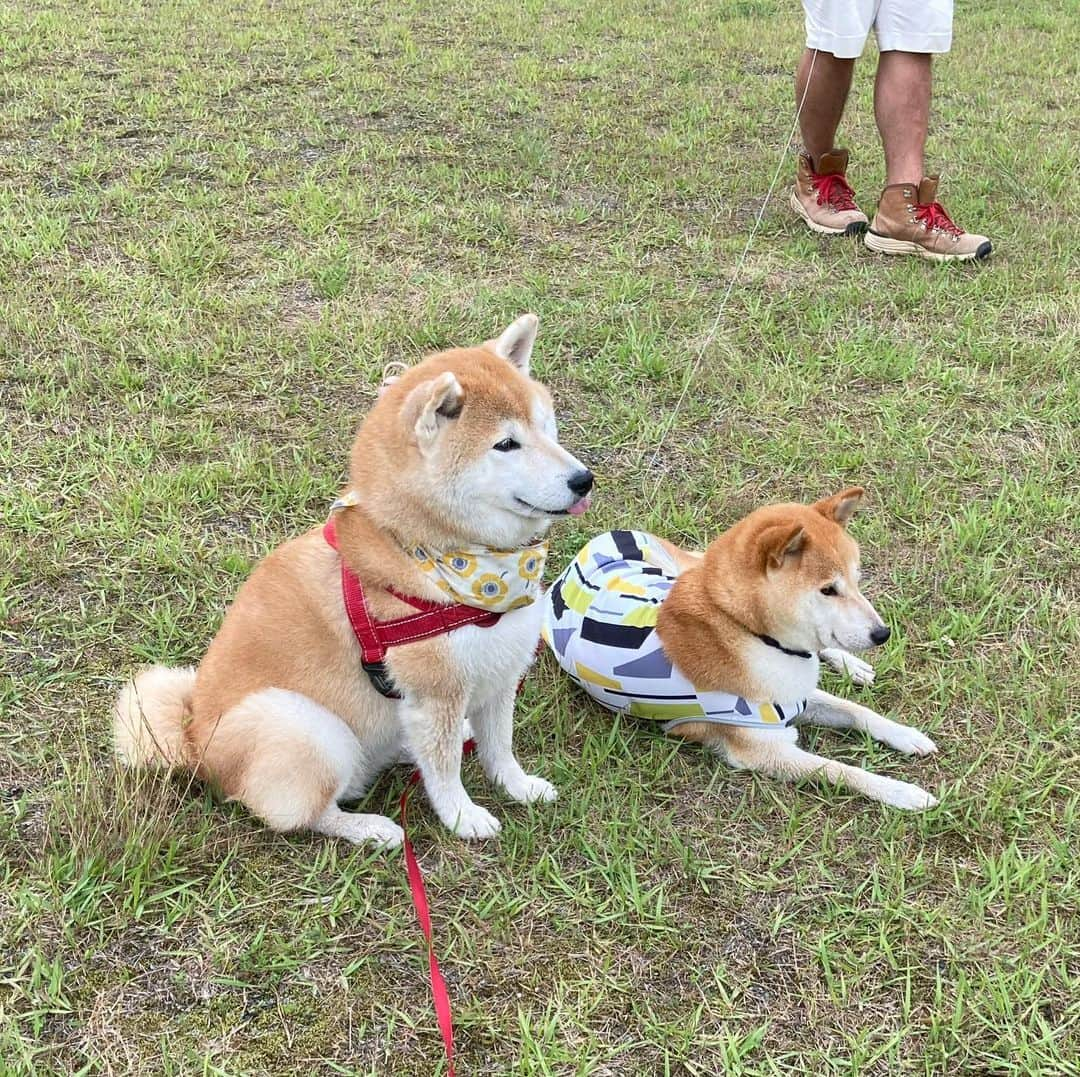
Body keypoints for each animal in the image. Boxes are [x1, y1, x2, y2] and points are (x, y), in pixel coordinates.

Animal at [113, 315, 596, 846]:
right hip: (303, 726)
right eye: (506, 444)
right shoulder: (437, 692)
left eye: (546, 427)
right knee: (306, 813)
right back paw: (369, 829)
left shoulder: (500, 673)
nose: (583, 479)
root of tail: (195, 742)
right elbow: (445, 769)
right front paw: (462, 816)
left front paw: (518, 786)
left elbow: (499, 748)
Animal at [544, 488, 941, 808]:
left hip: (679, 569)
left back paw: (851, 664)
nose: (882, 633)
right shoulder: (766, 746)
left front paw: (906, 735)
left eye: (857, 580)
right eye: (828, 589)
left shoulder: (794, 693)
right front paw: (903, 792)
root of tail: (592, 543)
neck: (747, 630)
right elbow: (843, 770)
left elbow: (858, 711)